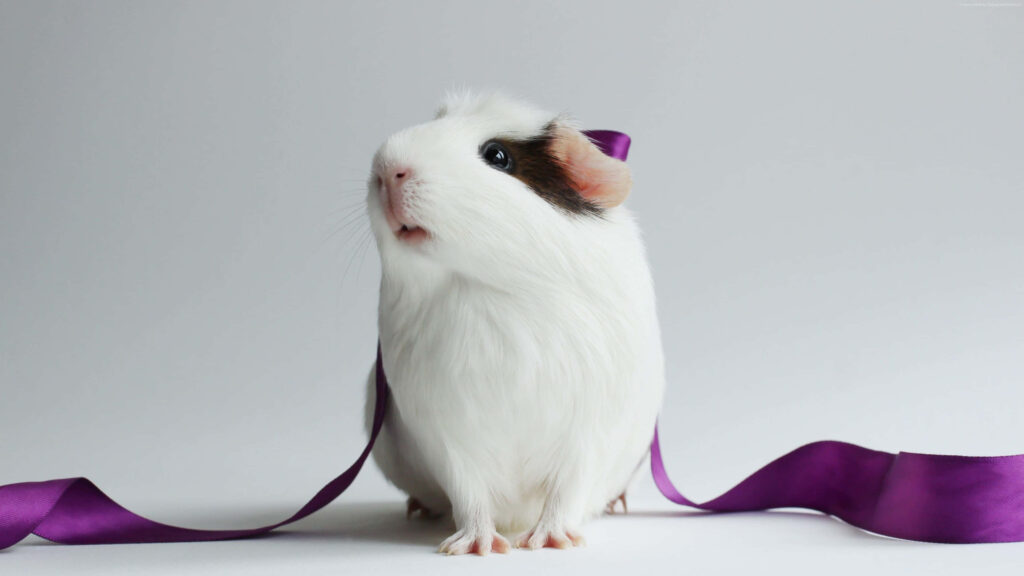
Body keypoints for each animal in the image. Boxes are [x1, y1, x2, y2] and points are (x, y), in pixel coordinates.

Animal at [362, 92, 665, 555]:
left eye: (497, 156)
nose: (386, 168)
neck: (487, 291)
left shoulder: (586, 434)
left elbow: (565, 491)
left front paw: (550, 542)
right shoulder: (448, 435)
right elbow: (469, 495)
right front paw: (474, 547)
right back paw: (420, 509)